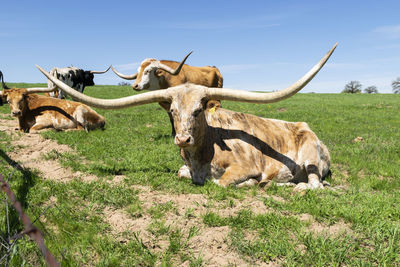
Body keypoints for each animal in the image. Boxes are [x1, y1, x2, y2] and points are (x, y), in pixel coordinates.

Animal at [36, 44, 338, 191]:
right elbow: (183, 174)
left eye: (198, 110)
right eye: (173, 111)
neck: (203, 153)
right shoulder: (186, 168)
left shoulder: (244, 168)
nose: (182, 139)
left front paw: (253, 183)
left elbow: (222, 183)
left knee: (315, 186)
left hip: (310, 160)